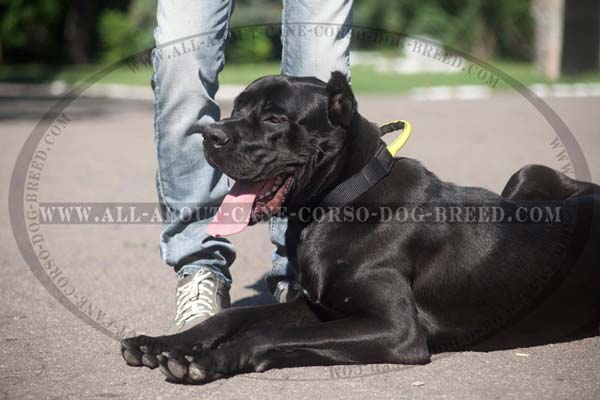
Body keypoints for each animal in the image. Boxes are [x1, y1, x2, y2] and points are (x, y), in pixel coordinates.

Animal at [122, 72, 600, 384]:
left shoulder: (396, 331)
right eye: (237, 108)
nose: (210, 134)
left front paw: (209, 360)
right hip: (526, 173)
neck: (339, 201)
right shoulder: (320, 304)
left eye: (275, 119)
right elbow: (237, 314)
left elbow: (268, 332)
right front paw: (165, 343)